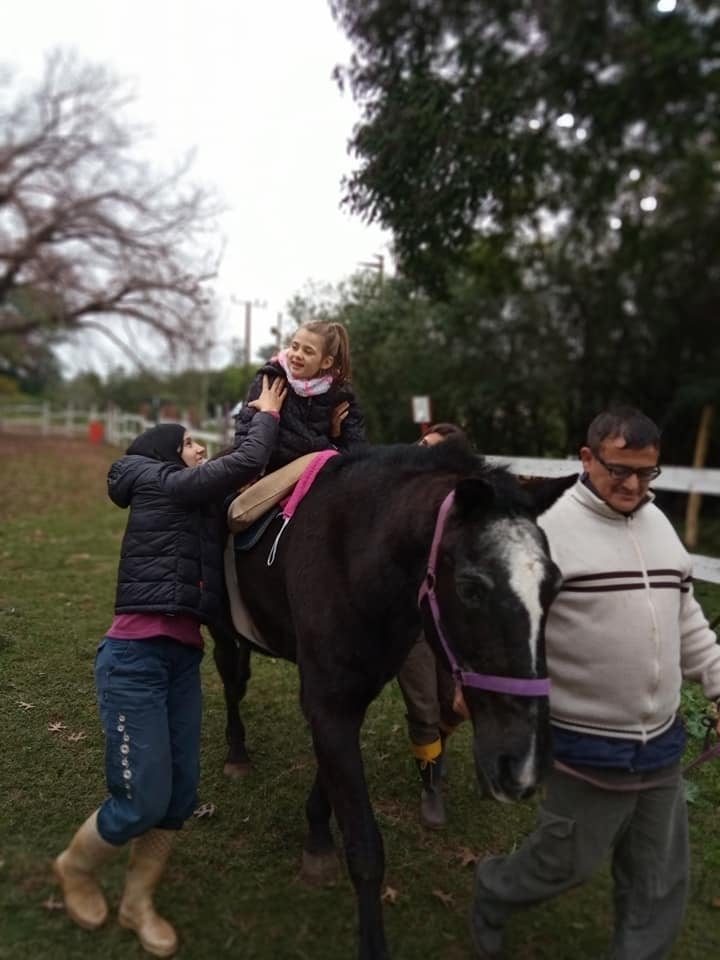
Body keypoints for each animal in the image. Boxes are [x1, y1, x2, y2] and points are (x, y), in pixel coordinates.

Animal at [210, 444, 572, 960]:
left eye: (554, 587)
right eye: (470, 588)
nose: (521, 766)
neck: (351, 556)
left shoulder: (349, 696)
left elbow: (329, 782)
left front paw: (317, 837)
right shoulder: (328, 700)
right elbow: (365, 848)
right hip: (222, 630)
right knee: (231, 681)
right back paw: (237, 752)